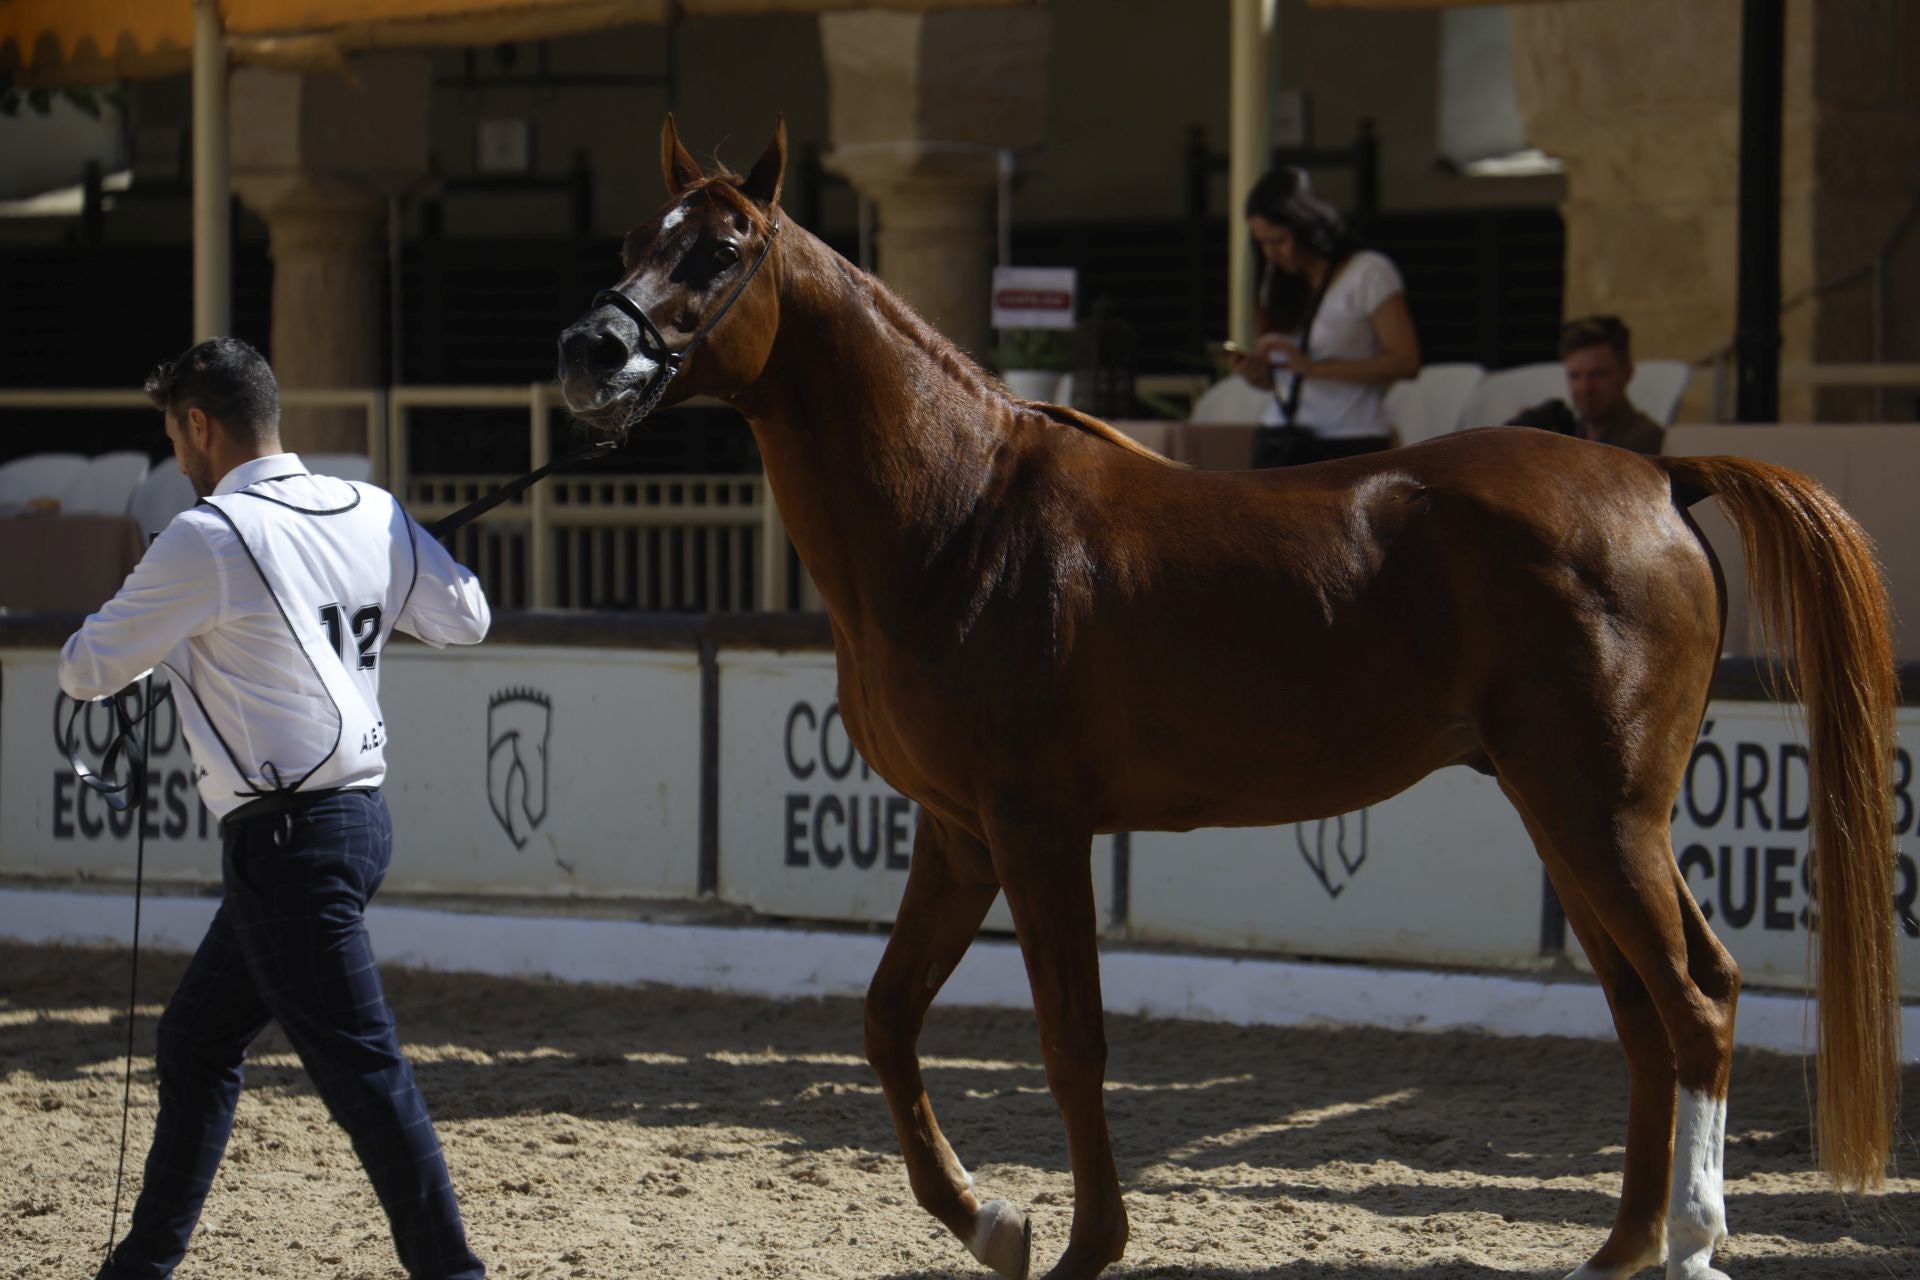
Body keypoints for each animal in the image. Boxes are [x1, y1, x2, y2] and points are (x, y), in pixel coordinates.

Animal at [556, 117, 1902, 1280]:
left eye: (722, 247)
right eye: (632, 239)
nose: (588, 352)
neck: (962, 518)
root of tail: (1658, 475)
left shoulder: (1035, 830)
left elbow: (1073, 1039)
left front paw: (1085, 1244)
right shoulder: (957, 832)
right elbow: (889, 1017)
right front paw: (994, 1222)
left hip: (1603, 812)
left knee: (1694, 1002)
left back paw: (1691, 1242)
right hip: (1564, 813)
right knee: (1645, 1006)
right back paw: (1617, 1247)